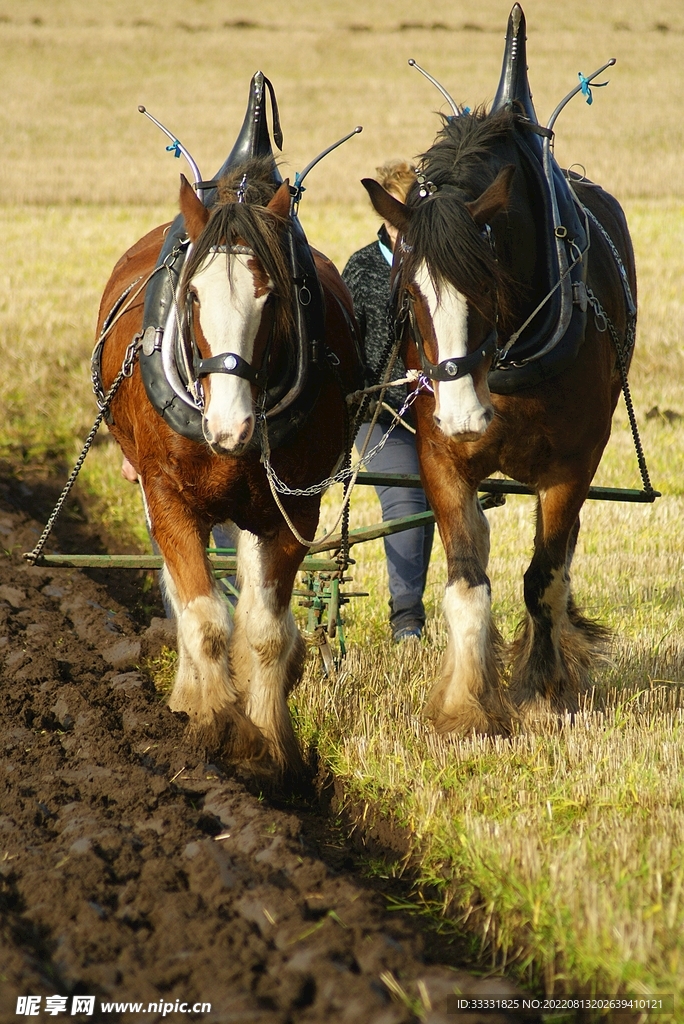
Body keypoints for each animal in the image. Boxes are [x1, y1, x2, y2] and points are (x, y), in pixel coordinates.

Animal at [97, 158, 362, 774]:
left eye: (272, 296)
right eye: (192, 295)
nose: (229, 428)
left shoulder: (294, 510)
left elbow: (264, 628)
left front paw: (266, 741)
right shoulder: (168, 497)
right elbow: (204, 619)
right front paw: (212, 720)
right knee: (183, 595)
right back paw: (189, 695)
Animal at [363, 105, 636, 735]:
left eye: (488, 281)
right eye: (408, 293)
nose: (464, 414)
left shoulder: (571, 464)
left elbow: (544, 577)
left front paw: (540, 691)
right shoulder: (440, 457)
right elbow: (467, 582)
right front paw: (467, 706)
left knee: (558, 556)